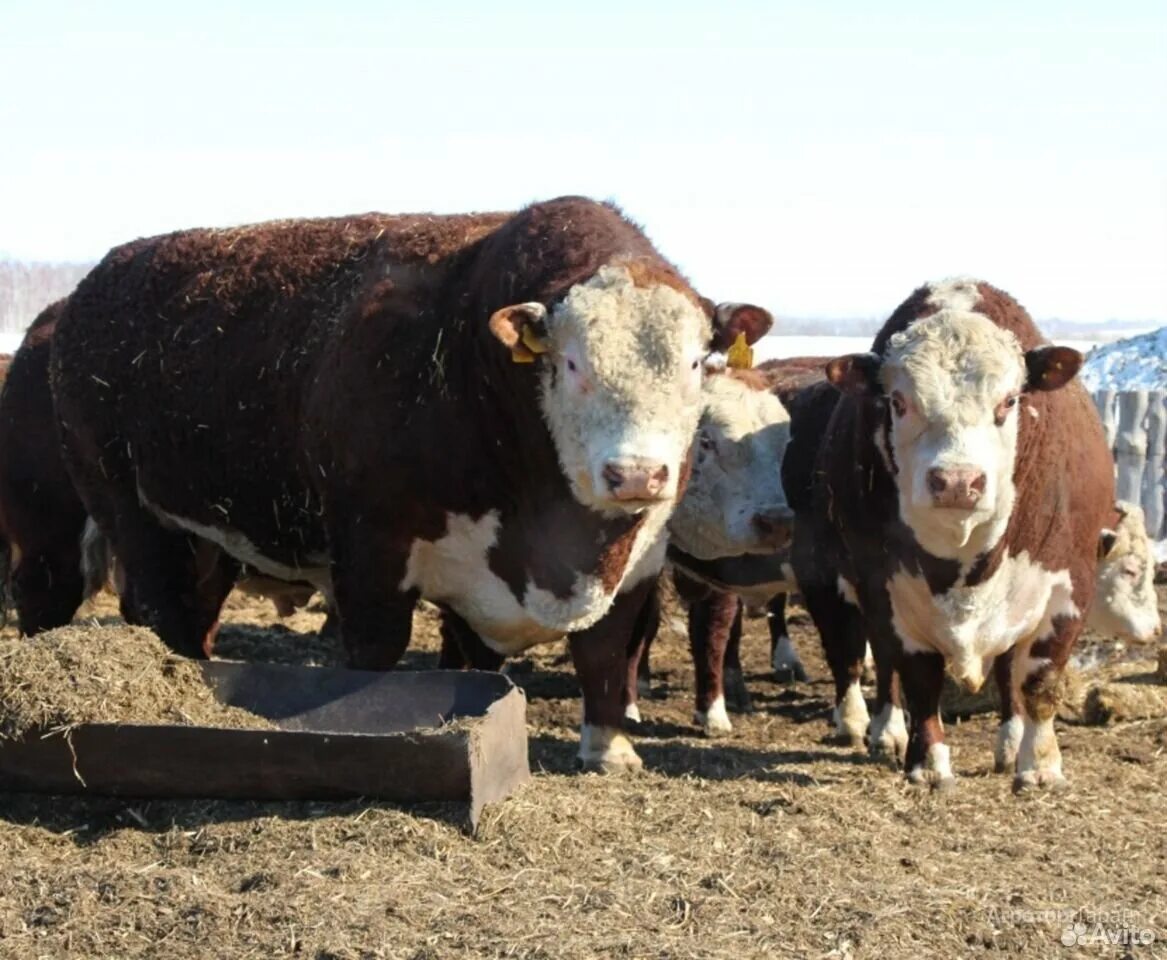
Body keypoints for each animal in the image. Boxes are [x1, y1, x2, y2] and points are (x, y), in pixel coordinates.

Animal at [54, 197, 770, 774]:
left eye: (695, 364)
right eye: (571, 363)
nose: (637, 473)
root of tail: (96, 282)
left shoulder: (637, 559)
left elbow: (602, 650)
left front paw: (609, 751)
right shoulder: (371, 549)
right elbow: (376, 653)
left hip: (207, 536)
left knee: (195, 613)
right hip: (125, 505)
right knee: (159, 606)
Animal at [793, 276, 1110, 788]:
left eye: (1009, 401)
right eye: (898, 402)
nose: (958, 481)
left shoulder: (1071, 584)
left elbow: (1040, 680)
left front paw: (1040, 764)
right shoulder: (885, 586)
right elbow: (918, 678)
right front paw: (928, 764)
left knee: (1008, 670)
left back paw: (1009, 742)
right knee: (875, 661)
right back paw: (884, 731)